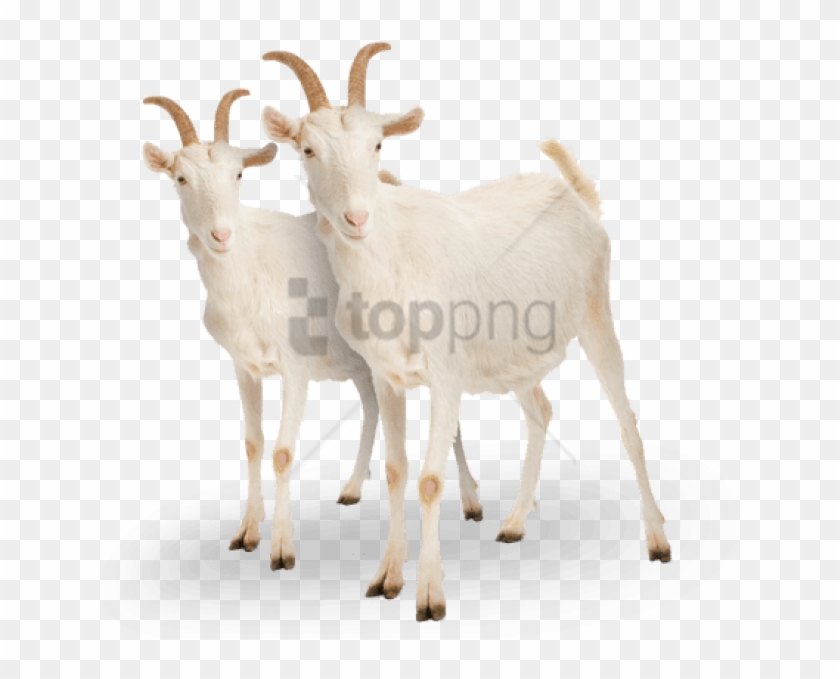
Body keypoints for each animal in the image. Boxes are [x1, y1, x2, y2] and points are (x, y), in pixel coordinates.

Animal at [141, 90, 483, 572]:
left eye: (238, 174)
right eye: (180, 178)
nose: (221, 234)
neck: (249, 268)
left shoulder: (295, 368)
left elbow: (283, 453)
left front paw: (282, 549)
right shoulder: (243, 367)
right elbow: (253, 443)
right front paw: (247, 531)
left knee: (450, 424)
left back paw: (471, 500)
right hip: (362, 364)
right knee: (372, 406)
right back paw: (353, 486)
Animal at [262, 44, 670, 620]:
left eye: (377, 143)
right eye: (307, 149)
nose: (357, 218)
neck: (393, 256)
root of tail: (575, 195)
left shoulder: (447, 376)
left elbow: (431, 480)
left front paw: (430, 597)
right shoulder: (386, 377)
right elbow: (396, 470)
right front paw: (387, 578)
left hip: (596, 314)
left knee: (629, 424)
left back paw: (658, 541)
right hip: (516, 357)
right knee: (541, 411)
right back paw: (516, 522)